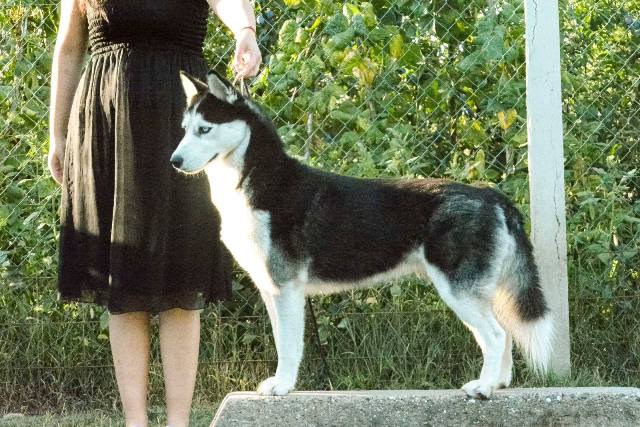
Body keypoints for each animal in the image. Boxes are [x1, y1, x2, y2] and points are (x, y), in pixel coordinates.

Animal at [172, 71, 552, 402]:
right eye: (185, 130)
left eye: (205, 129)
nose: (174, 160)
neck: (252, 182)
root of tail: (492, 195)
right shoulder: (271, 288)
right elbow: (281, 339)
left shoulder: (287, 288)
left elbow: (290, 345)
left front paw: (283, 385)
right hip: (478, 293)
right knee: (504, 334)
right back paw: (498, 383)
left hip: (458, 291)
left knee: (496, 335)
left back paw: (484, 388)